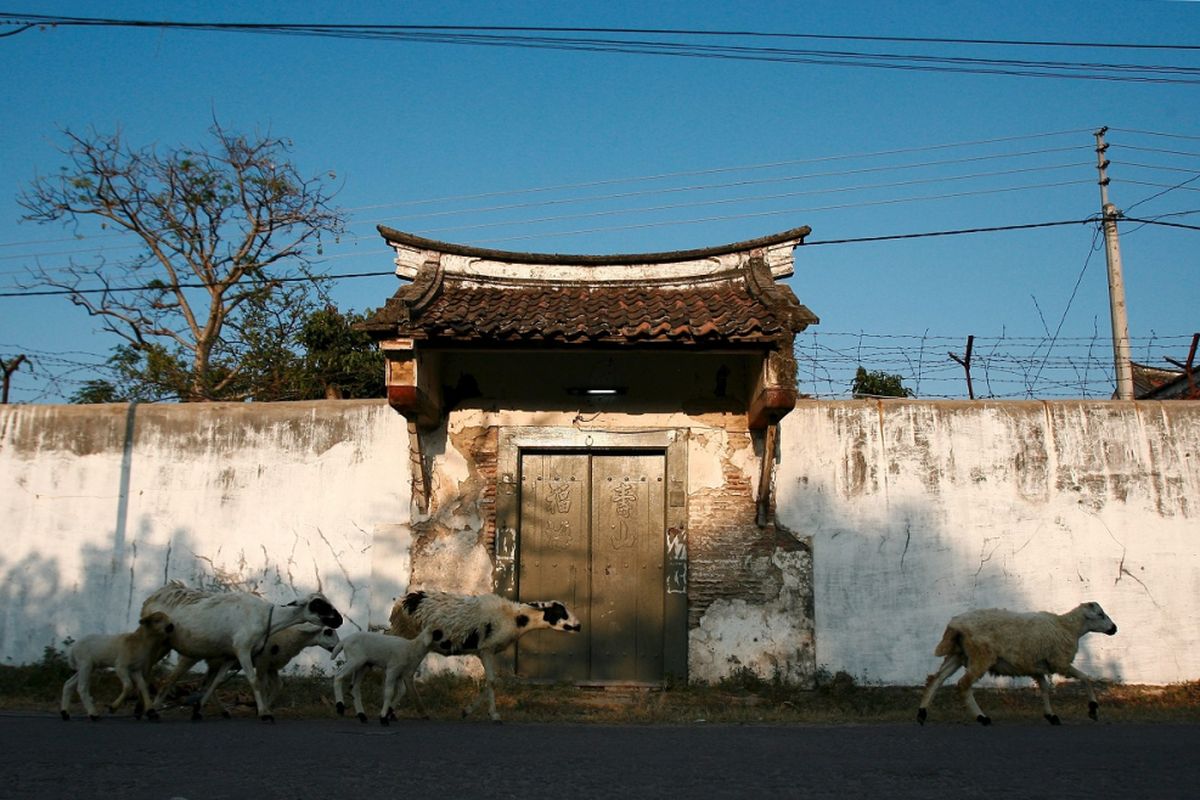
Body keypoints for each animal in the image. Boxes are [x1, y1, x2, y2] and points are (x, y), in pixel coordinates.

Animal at [144, 578, 348, 724]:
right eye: (318, 604)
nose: (340, 620)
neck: (267, 618)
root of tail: (157, 595)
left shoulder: (230, 655)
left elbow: (217, 682)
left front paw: (198, 709)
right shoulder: (244, 651)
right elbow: (255, 681)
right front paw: (264, 713)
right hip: (169, 647)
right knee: (161, 677)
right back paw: (151, 710)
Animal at [388, 592, 580, 724]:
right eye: (559, 611)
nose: (578, 626)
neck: (515, 618)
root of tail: (403, 603)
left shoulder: (483, 652)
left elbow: (490, 681)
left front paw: (467, 711)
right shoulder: (487, 649)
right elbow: (493, 681)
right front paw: (494, 715)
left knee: (403, 675)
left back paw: (394, 711)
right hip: (410, 639)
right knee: (404, 674)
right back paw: (414, 711)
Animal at [916, 599, 1113, 724]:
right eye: (1100, 614)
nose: (1114, 628)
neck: (1068, 627)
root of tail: (955, 625)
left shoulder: (1035, 667)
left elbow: (1044, 688)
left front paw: (1051, 715)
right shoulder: (1060, 663)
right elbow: (1086, 678)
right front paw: (1093, 709)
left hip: (958, 654)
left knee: (936, 679)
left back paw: (922, 714)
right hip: (981, 655)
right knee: (963, 684)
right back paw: (982, 717)